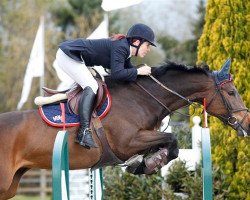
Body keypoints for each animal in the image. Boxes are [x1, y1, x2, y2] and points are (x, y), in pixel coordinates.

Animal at [0, 58, 248, 199]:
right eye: (231, 93)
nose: (246, 123)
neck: (141, 98)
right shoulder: (127, 142)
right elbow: (172, 139)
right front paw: (148, 164)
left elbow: (171, 145)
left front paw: (144, 163)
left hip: (10, 186)